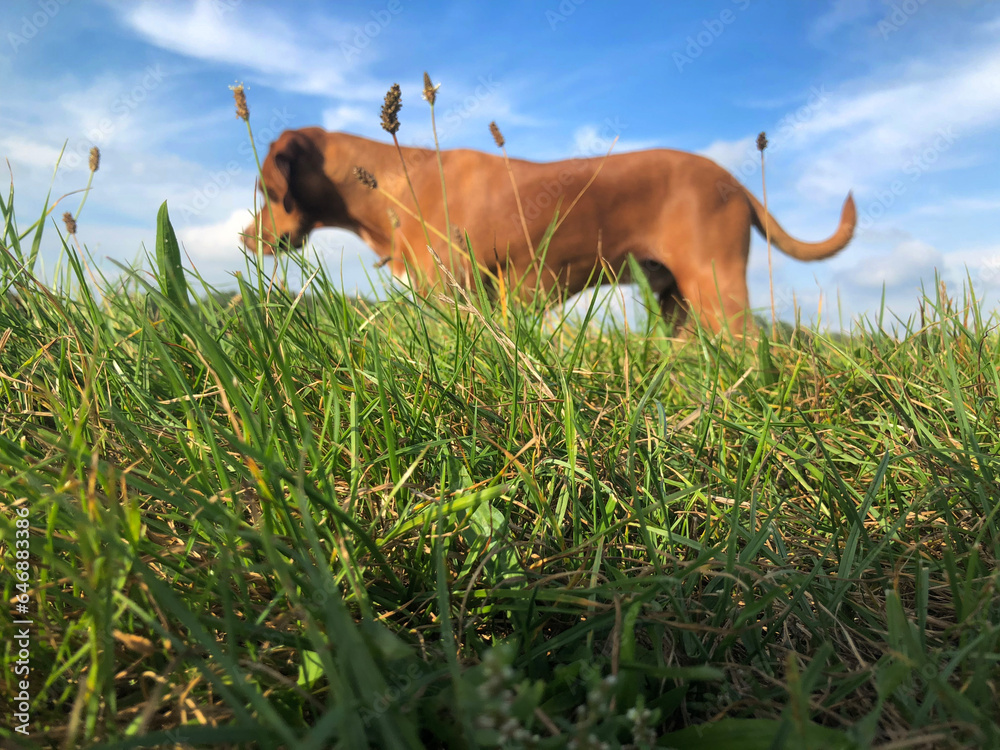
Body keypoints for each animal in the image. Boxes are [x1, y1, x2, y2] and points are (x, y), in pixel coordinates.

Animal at [240, 128, 852, 334]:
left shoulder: (452, 295)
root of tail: (735, 180)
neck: (399, 177)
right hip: (675, 297)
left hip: (715, 283)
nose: (244, 240)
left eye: (266, 190)